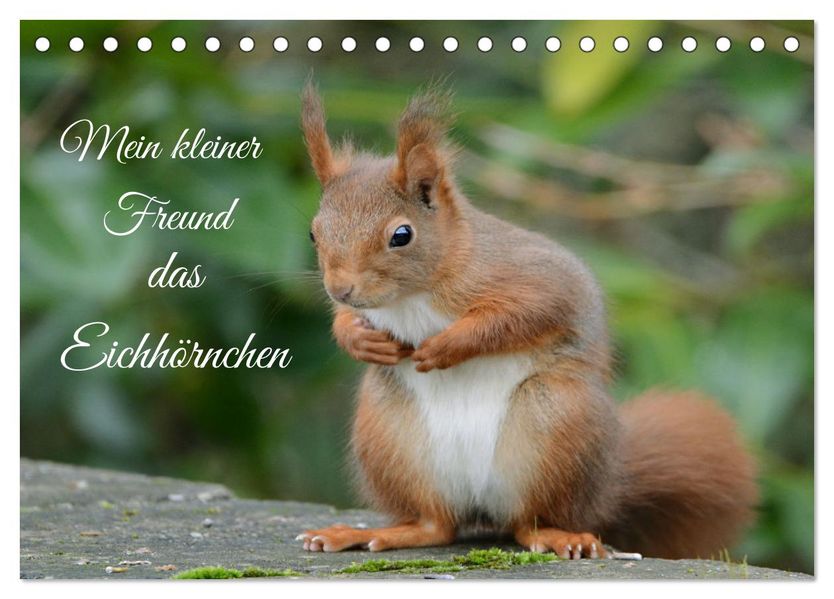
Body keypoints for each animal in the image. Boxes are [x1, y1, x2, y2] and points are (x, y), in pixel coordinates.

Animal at [296, 82, 758, 559]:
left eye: (401, 235)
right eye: (314, 232)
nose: (340, 288)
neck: (414, 294)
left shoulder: (533, 278)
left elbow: (522, 313)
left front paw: (446, 346)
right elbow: (349, 321)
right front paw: (359, 339)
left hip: (553, 423)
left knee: (527, 523)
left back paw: (561, 536)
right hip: (390, 436)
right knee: (436, 526)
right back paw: (370, 533)